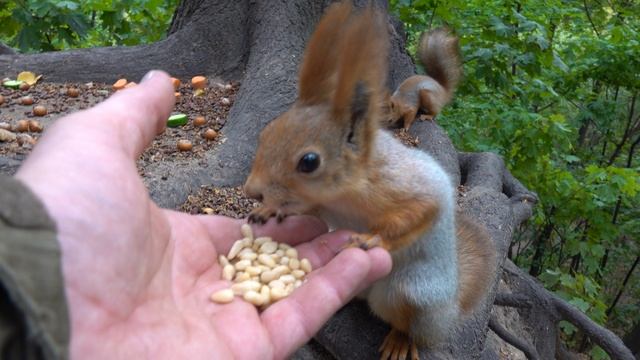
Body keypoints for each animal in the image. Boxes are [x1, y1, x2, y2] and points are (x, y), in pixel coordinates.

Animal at [242, 2, 498, 358]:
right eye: (266, 133)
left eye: (309, 162)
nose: (251, 190)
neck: (340, 196)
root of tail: (448, 311)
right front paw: (268, 211)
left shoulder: (405, 186)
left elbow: (420, 212)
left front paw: (372, 239)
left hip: (413, 294)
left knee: (409, 325)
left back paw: (401, 340)